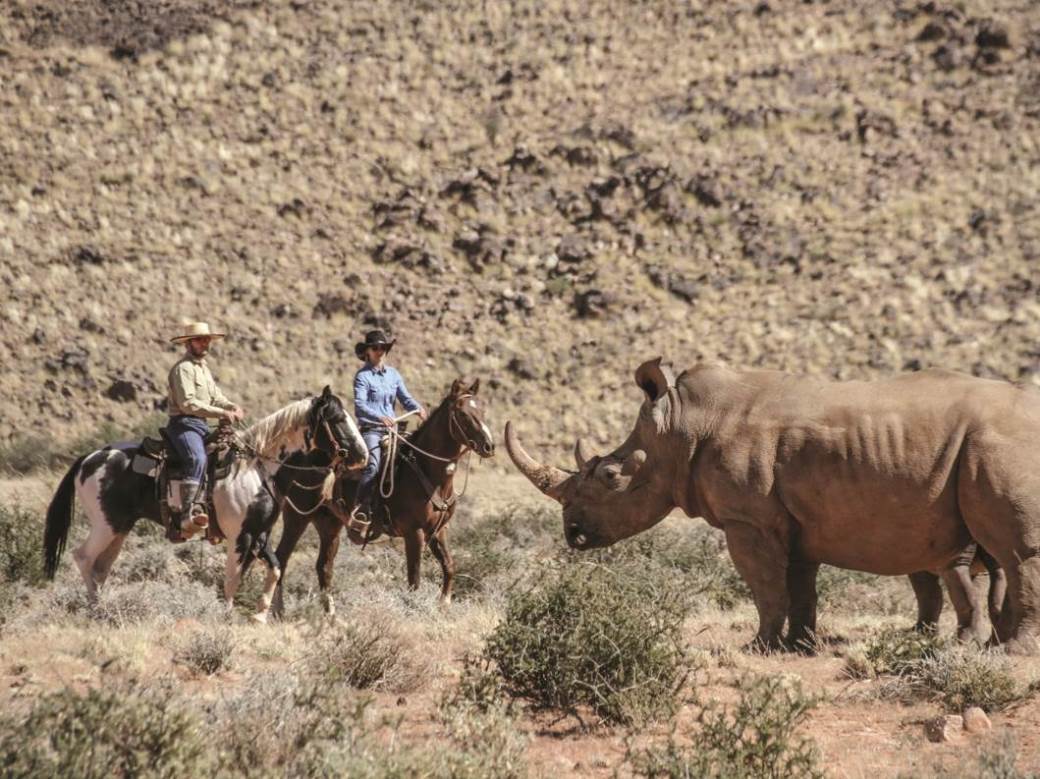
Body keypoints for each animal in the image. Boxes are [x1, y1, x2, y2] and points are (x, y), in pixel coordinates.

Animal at [42, 386, 368, 624]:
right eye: (338, 420)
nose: (362, 455)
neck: (257, 469)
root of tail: (89, 457)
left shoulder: (259, 534)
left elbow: (275, 568)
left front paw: (260, 615)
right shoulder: (241, 536)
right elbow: (232, 579)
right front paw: (226, 616)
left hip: (120, 528)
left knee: (101, 568)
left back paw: (103, 608)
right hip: (105, 525)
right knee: (84, 558)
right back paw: (95, 609)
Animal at [270, 374, 492, 615]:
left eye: (483, 410)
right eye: (463, 414)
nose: (489, 446)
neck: (428, 472)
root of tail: (292, 458)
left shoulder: (439, 529)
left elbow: (449, 566)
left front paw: (444, 603)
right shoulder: (414, 533)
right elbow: (414, 578)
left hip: (329, 524)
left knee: (324, 567)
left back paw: (330, 615)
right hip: (297, 517)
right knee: (282, 559)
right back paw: (278, 612)